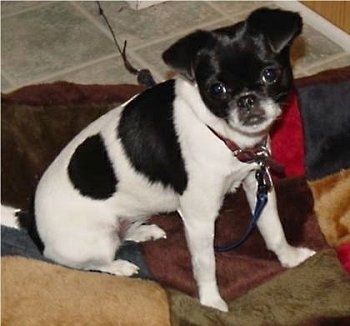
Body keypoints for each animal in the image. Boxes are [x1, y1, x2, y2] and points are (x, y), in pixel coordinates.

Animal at [7, 8, 318, 312]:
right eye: (216, 89)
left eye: (270, 74)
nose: (247, 100)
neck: (220, 134)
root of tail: (29, 218)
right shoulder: (199, 219)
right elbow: (206, 264)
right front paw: (211, 302)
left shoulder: (258, 186)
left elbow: (273, 228)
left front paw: (290, 258)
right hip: (96, 241)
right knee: (93, 263)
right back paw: (119, 266)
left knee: (123, 234)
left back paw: (142, 232)